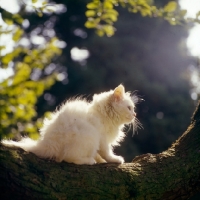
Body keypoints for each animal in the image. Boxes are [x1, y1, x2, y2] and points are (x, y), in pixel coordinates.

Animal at [2, 84, 138, 164]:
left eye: (133, 108)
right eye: (129, 108)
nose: (135, 114)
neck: (103, 115)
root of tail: (46, 144)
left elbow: (100, 154)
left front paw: (101, 161)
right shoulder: (102, 138)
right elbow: (107, 152)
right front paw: (114, 159)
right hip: (90, 135)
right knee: (69, 158)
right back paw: (89, 161)